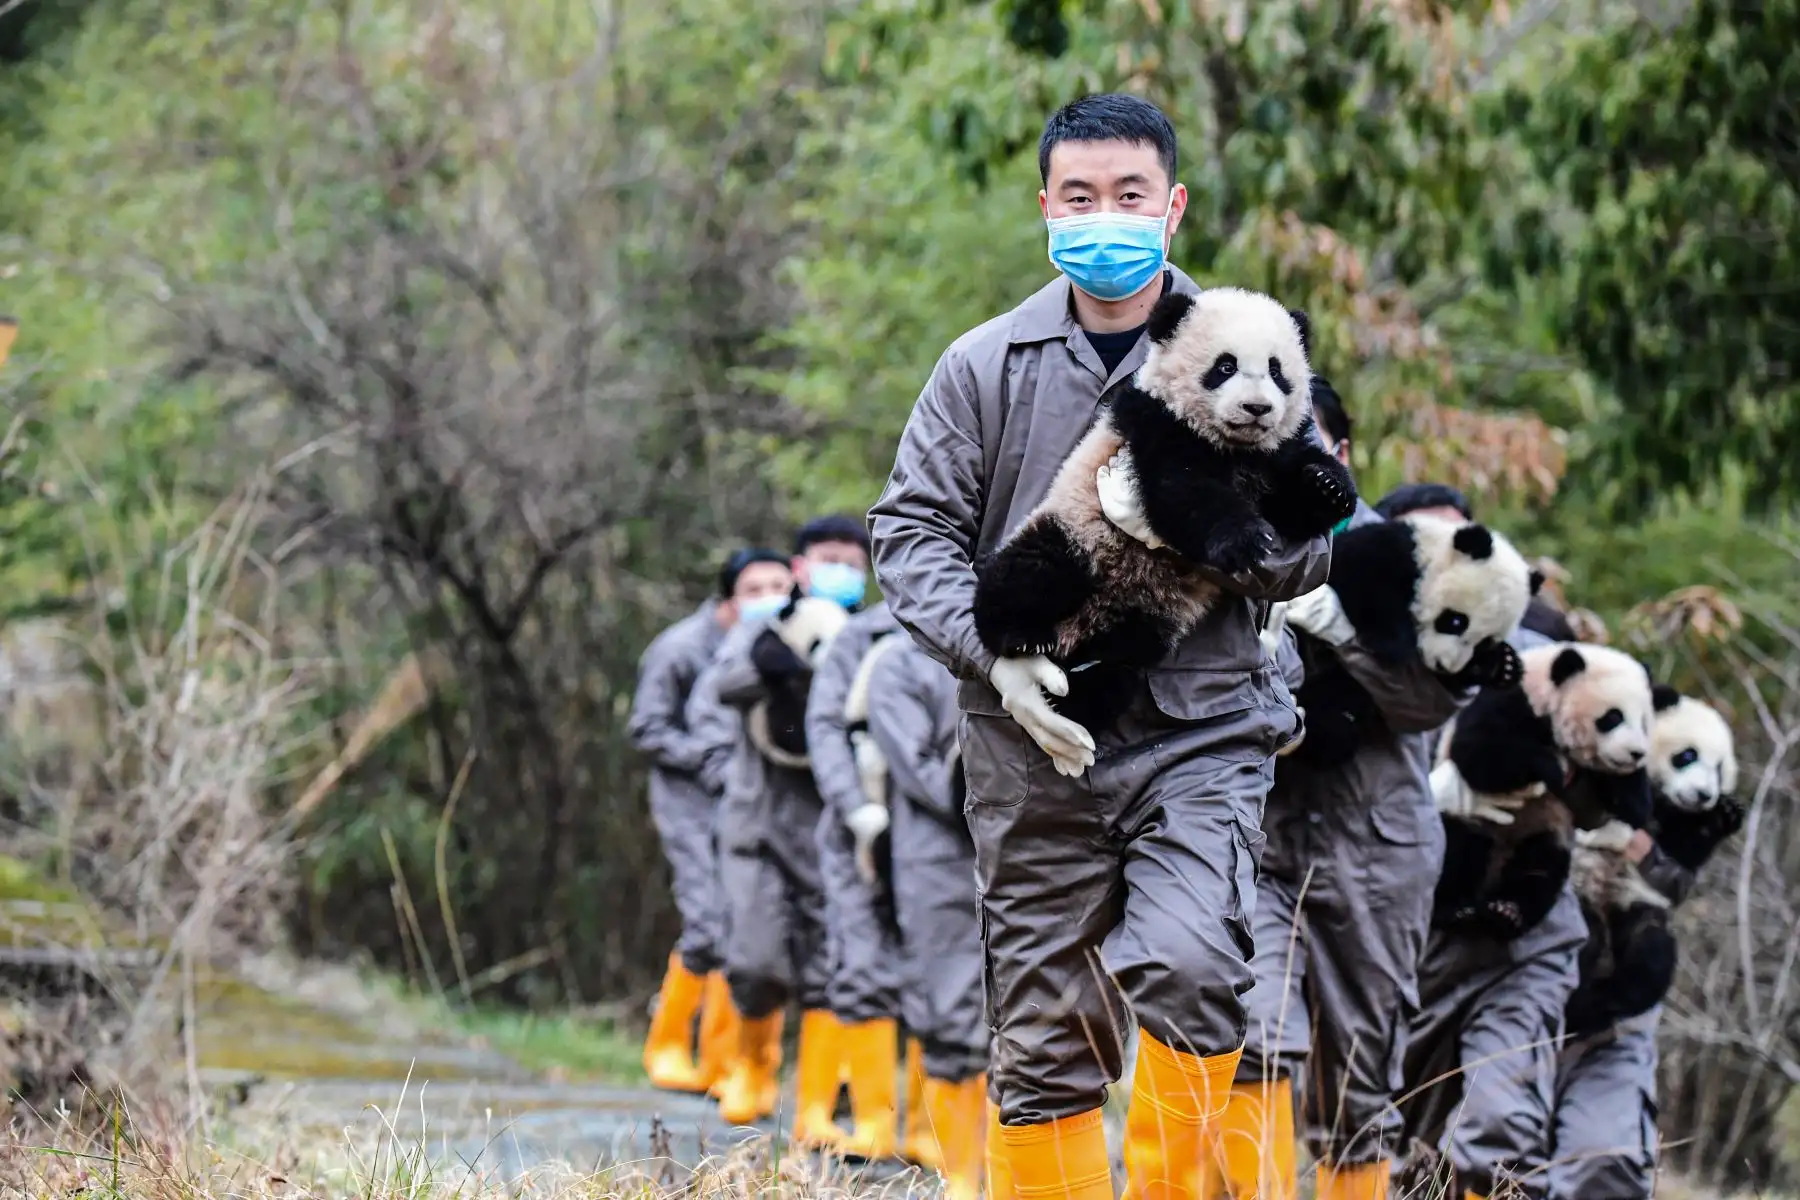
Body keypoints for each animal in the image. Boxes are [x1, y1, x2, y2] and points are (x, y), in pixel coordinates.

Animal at [971, 286, 1358, 730]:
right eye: (1225, 366)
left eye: (1276, 371)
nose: (1257, 408)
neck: (1234, 448)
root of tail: (1071, 634)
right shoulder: (1154, 426)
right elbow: (1181, 492)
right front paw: (1243, 539)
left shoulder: (1273, 457)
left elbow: (1293, 507)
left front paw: (1329, 485)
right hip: (1078, 533)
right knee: (1032, 570)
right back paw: (1021, 637)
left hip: (1147, 620)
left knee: (1116, 670)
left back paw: (1076, 695)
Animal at [1287, 512, 1542, 768]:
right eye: (1456, 621)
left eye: (1485, 642)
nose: (1443, 665)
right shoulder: (1389, 551)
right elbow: (1360, 580)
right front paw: (1391, 643)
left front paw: (1504, 665)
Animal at [1428, 642, 1658, 940]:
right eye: (1613, 717)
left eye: (1644, 723)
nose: (1636, 753)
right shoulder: (1511, 702)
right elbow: (1478, 752)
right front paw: (1551, 769)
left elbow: (1621, 804)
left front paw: (1631, 801)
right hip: (1471, 820)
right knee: (1457, 852)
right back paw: (1455, 909)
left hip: (1544, 831)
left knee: (1540, 872)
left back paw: (1507, 913)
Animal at [1564, 687, 1743, 1036]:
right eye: (1687, 756)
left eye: (1719, 770)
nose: (1704, 795)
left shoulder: (1672, 838)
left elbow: (1679, 859)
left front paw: (1724, 815)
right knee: (1586, 938)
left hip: (1634, 905)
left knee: (1650, 956)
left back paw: (1598, 1005)